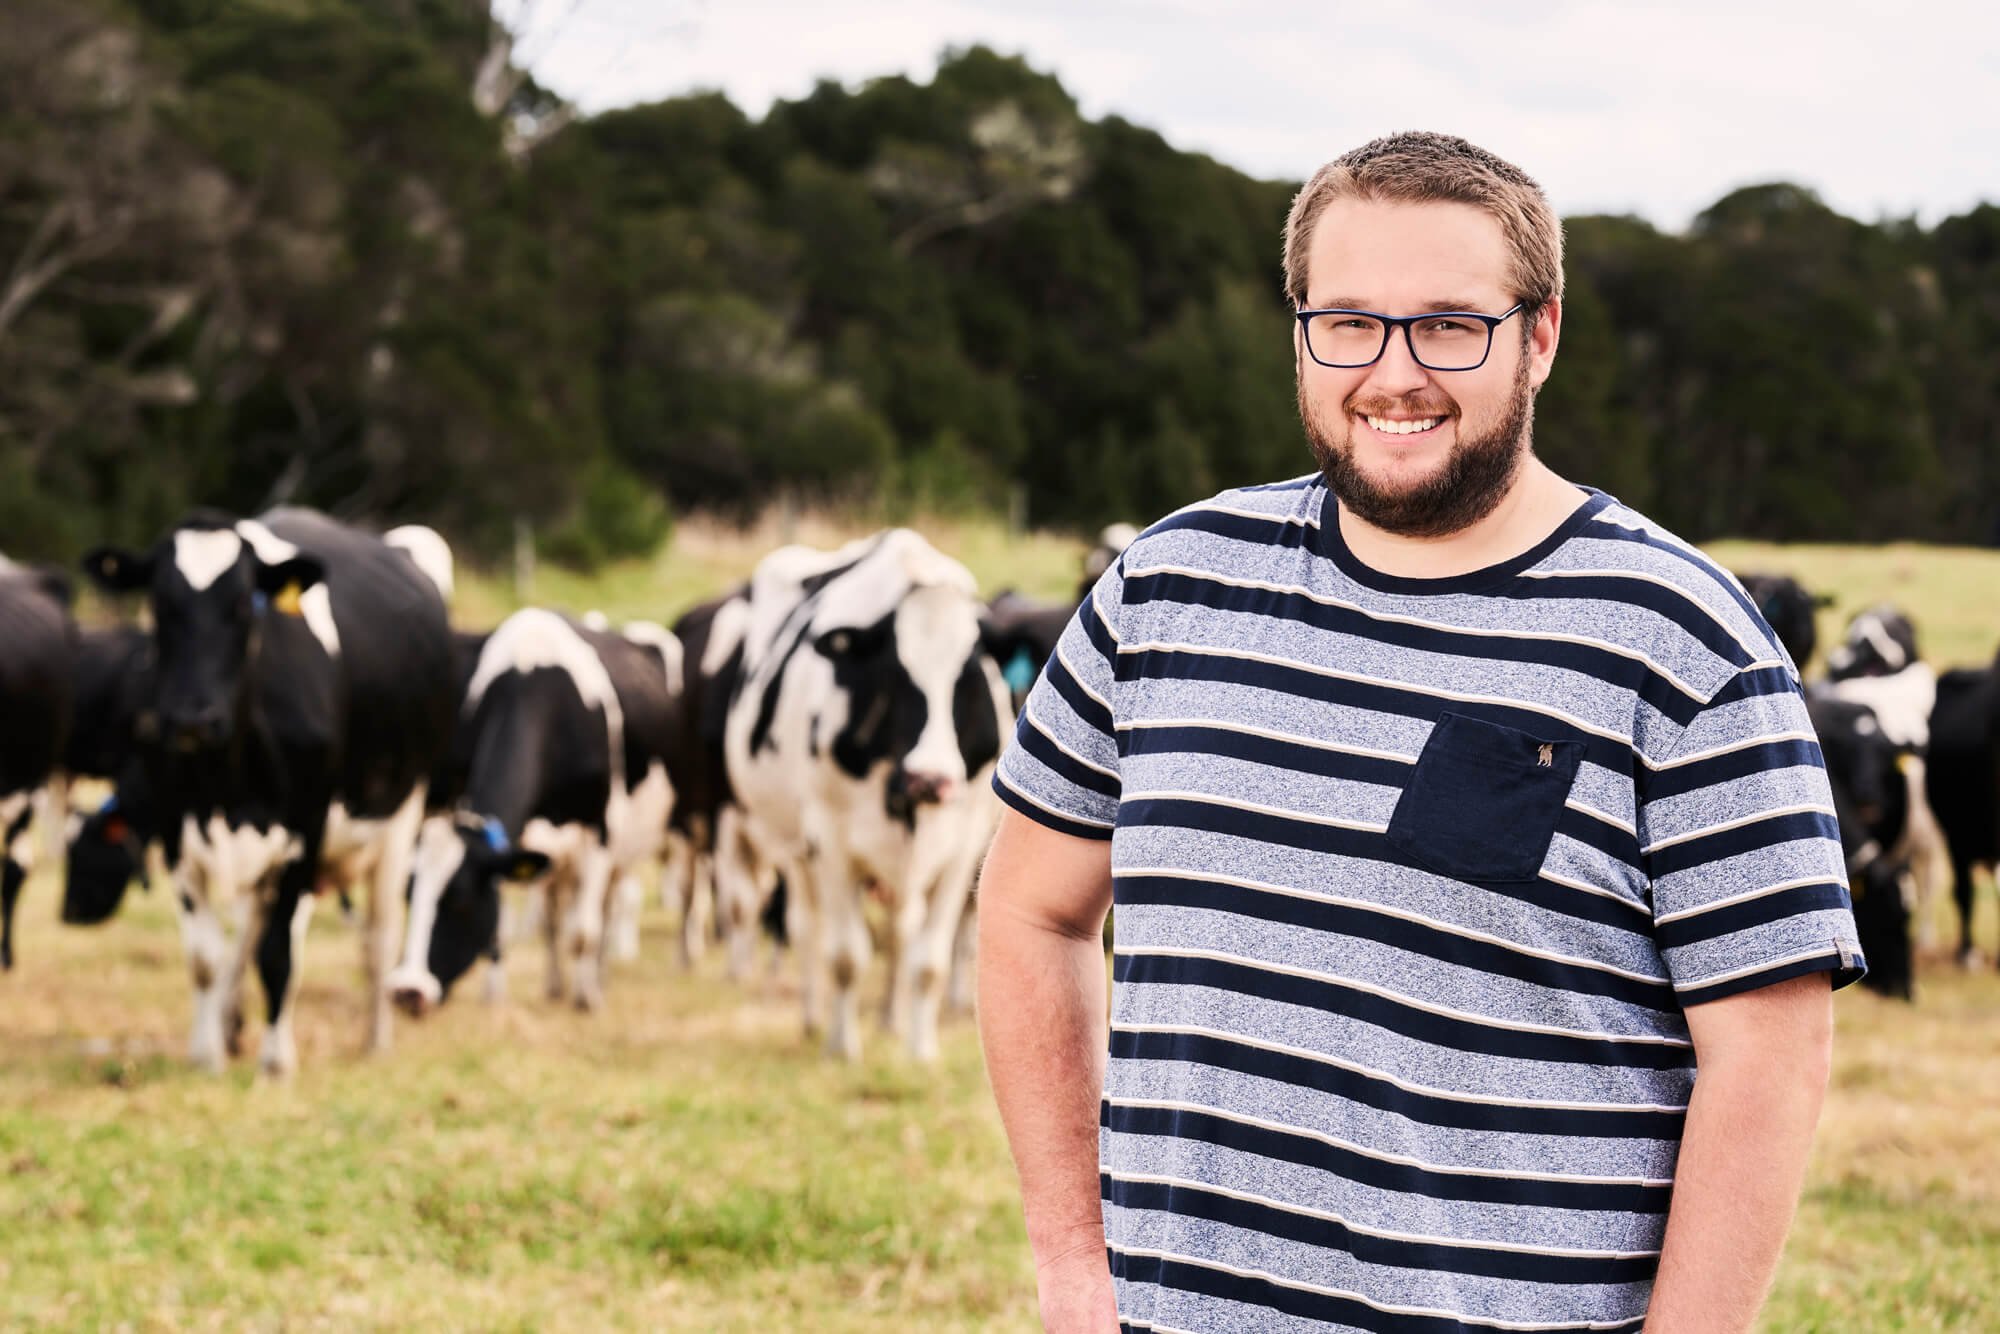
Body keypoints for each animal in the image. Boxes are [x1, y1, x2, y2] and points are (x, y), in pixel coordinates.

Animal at [82, 512, 458, 1072]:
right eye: (160, 604)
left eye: (242, 605)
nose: (191, 718)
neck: (226, 774)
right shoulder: (174, 832)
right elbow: (206, 957)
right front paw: (208, 1053)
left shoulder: (307, 830)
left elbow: (279, 953)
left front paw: (277, 1060)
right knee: (248, 931)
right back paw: (231, 1023)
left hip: (401, 817)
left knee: (378, 935)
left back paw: (375, 1041)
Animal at [386, 608, 684, 1012]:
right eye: (408, 896)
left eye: (461, 902)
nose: (407, 991)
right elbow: (510, 925)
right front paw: (495, 996)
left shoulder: (599, 832)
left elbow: (584, 931)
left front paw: (585, 1000)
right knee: (554, 917)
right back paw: (556, 984)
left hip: (626, 848)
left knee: (606, 910)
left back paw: (595, 981)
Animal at [728, 528, 1008, 1056]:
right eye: (893, 672)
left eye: (969, 677)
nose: (931, 778)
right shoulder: (831, 839)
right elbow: (845, 956)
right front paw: (843, 1049)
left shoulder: (963, 845)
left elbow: (928, 962)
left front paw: (920, 1052)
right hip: (794, 848)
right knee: (806, 926)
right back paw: (814, 1018)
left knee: (900, 932)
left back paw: (891, 1021)